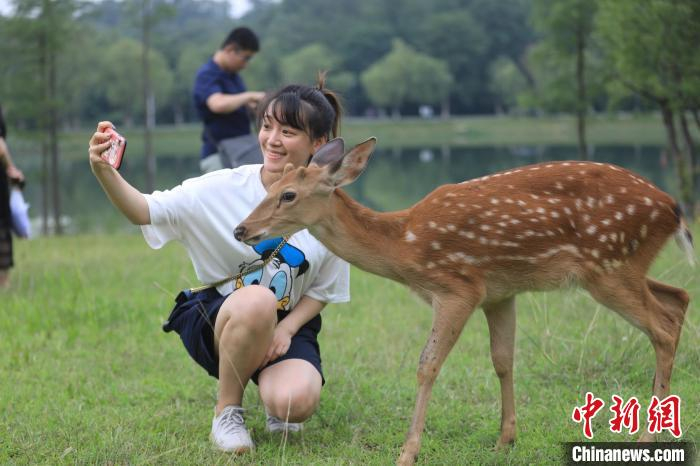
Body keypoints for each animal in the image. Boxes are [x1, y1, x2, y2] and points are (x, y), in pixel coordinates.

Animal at [233, 138, 694, 465]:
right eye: (271, 186)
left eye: (289, 194)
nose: (242, 229)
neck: (406, 247)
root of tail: (674, 209)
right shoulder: (499, 292)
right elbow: (503, 360)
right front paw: (505, 440)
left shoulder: (459, 287)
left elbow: (427, 364)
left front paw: (408, 452)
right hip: (624, 268)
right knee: (679, 297)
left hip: (608, 264)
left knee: (663, 326)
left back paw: (648, 436)